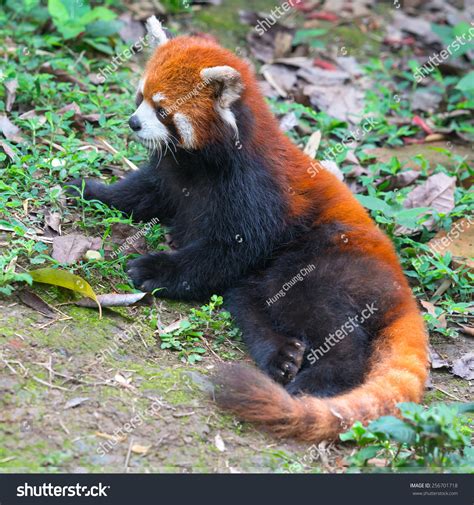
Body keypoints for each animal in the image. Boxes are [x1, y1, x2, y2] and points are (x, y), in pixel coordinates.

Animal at [69, 15, 430, 440]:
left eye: (162, 110)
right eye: (140, 97)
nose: (134, 122)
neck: (203, 162)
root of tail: (402, 291)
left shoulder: (254, 190)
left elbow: (232, 248)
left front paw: (155, 267)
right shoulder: (171, 176)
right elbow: (142, 192)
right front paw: (90, 189)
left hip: (325, 259)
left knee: (323, 315)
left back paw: (318, 379)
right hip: (267, 282)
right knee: (250, 303)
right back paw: (281, 356)